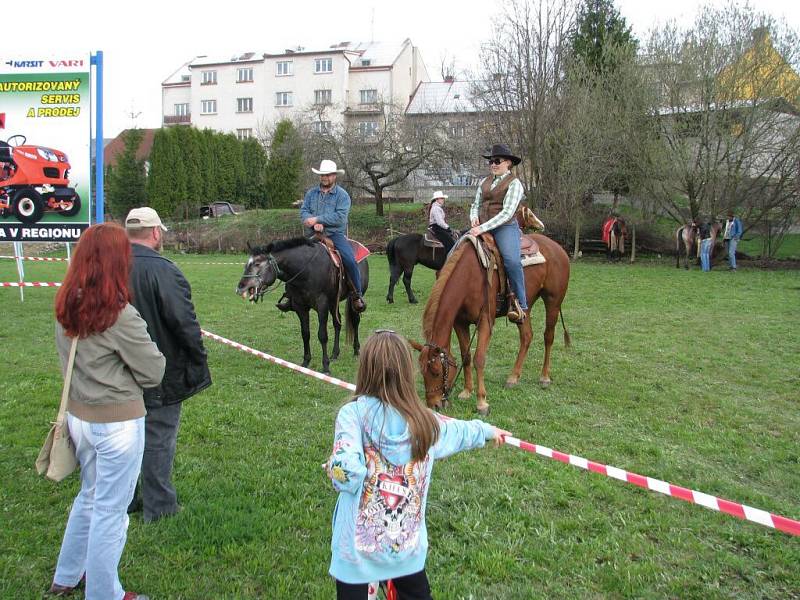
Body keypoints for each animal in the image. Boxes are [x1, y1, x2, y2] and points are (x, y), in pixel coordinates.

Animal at [236, 237, 370, 372]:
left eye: (257, 264)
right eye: (246, 264)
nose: (241, 287)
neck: (307, 270)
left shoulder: (322, 305)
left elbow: (322, 335)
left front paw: (325, 366)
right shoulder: (301, 307)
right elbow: (305, 334)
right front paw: (305, 362)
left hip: (353, 299)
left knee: (355, 321)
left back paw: (356, 350)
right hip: (333, 302)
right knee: (337, 323)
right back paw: (335, 354)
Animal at [412, 234, 568, 418]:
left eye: (436, 371)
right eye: (422, 371)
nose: (434, 405)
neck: (469, 276)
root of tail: (558, 248)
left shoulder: (486, 321)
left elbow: (479, 359)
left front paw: (481, 403)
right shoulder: (460, 322)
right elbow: (466, 356)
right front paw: (467, 391)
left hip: (553, 301)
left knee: (548, 337)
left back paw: (544, 377)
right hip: (525, 307)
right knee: (527, 336)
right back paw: (513, 378)